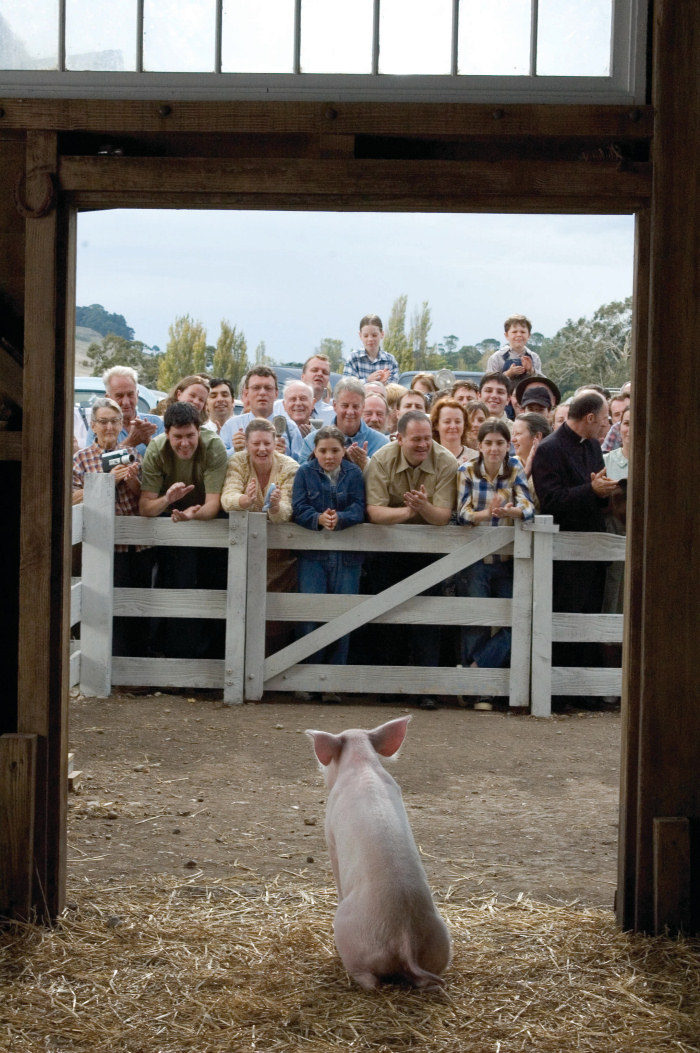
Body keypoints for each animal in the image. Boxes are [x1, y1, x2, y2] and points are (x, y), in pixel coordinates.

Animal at [307, 716, 452, 985]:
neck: (362, 763)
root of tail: (404, 937)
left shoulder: (330, 834)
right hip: (440, 941)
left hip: (353, 937)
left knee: (368, 980)